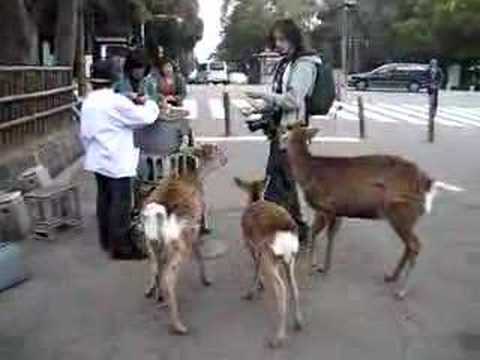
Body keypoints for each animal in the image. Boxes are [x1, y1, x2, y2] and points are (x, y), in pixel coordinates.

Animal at [141, 144, 227, 334]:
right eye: (216, 150)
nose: (225, 159)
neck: (195, 178)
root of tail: (158, 215)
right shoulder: (196, 225)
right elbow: (199, 253)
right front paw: (206, 279)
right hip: (179, 245)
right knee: (168, 276)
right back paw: (178, 324)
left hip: (151, 241)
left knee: (154, 265)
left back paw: (155, 294)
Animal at [233, 178, 302, 348]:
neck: (256, 199)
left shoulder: (251, 246)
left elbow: (255, 268)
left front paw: (253, 291)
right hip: (290, 260)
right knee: (294, 287)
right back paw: (298, 322)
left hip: (271, 261)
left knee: (282, 290)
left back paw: (277, 338)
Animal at [284, 125, 462, 300]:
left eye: (288, 129)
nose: (281, 139)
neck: (309, 174)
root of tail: (428, 183)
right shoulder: (331, 211)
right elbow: (320, 233)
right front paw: (318, 265)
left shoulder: (328, 206)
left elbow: (323, 234)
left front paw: (318, 267)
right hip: (408, 217)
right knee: (409, 245)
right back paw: (391, 276)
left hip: (400, 212)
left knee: (415, 245)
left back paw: (401, 291)